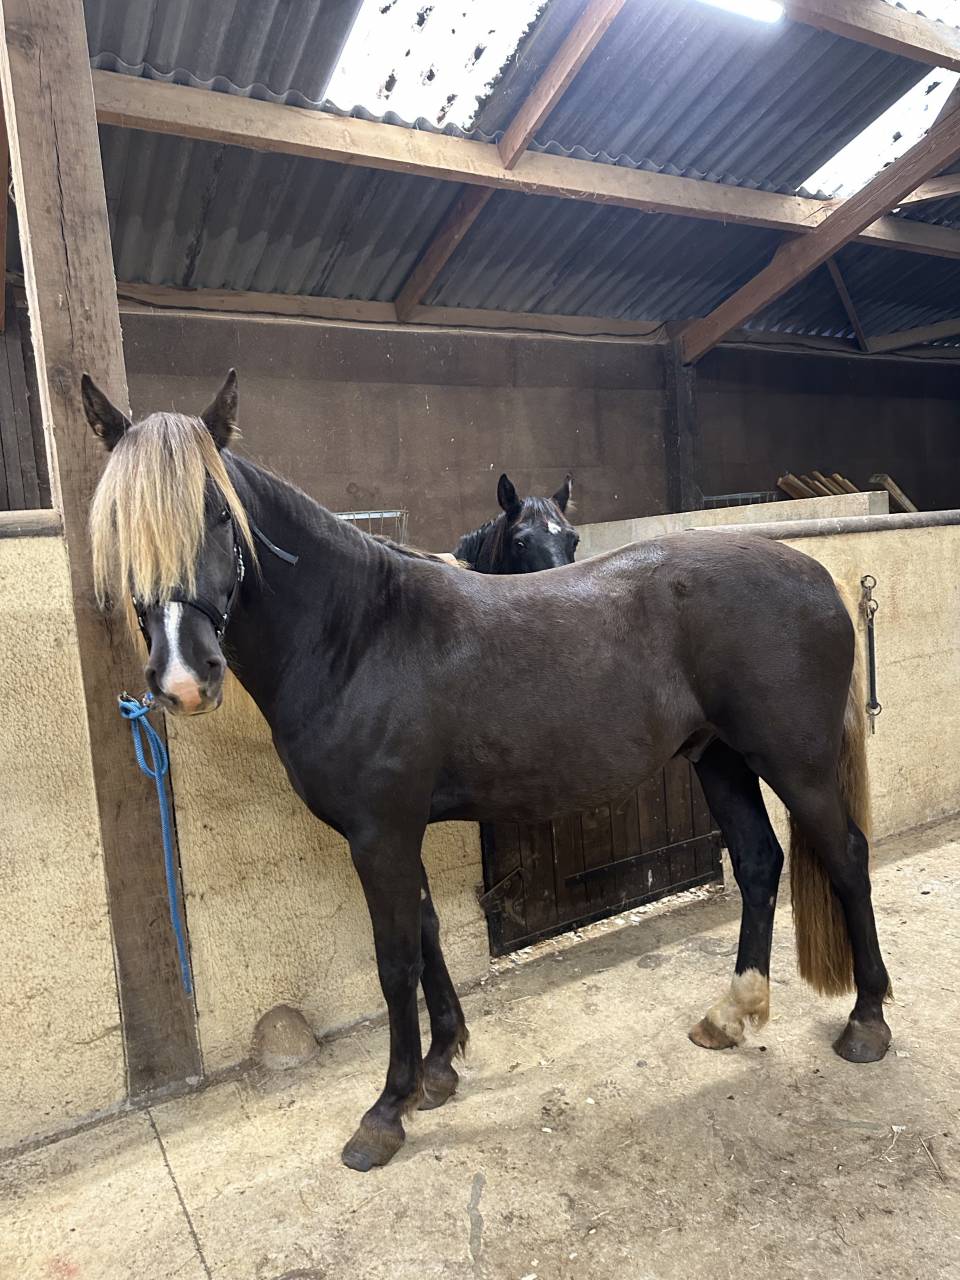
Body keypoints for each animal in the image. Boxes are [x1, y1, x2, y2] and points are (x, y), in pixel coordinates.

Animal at [84, 370, 892, 1173]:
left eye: (220, 515)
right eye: (120, 524)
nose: (185, 678)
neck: (358, 634)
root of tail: (816, 574)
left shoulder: (379, 833)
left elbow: (395, 960)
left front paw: (387, 1110)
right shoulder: (394, 830)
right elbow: (428, 932)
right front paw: (440, 1068)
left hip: (795, 764)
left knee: (846, 857)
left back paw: (867, 1022)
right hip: (718, 759)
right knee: (757, 862)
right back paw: (730, 1015)